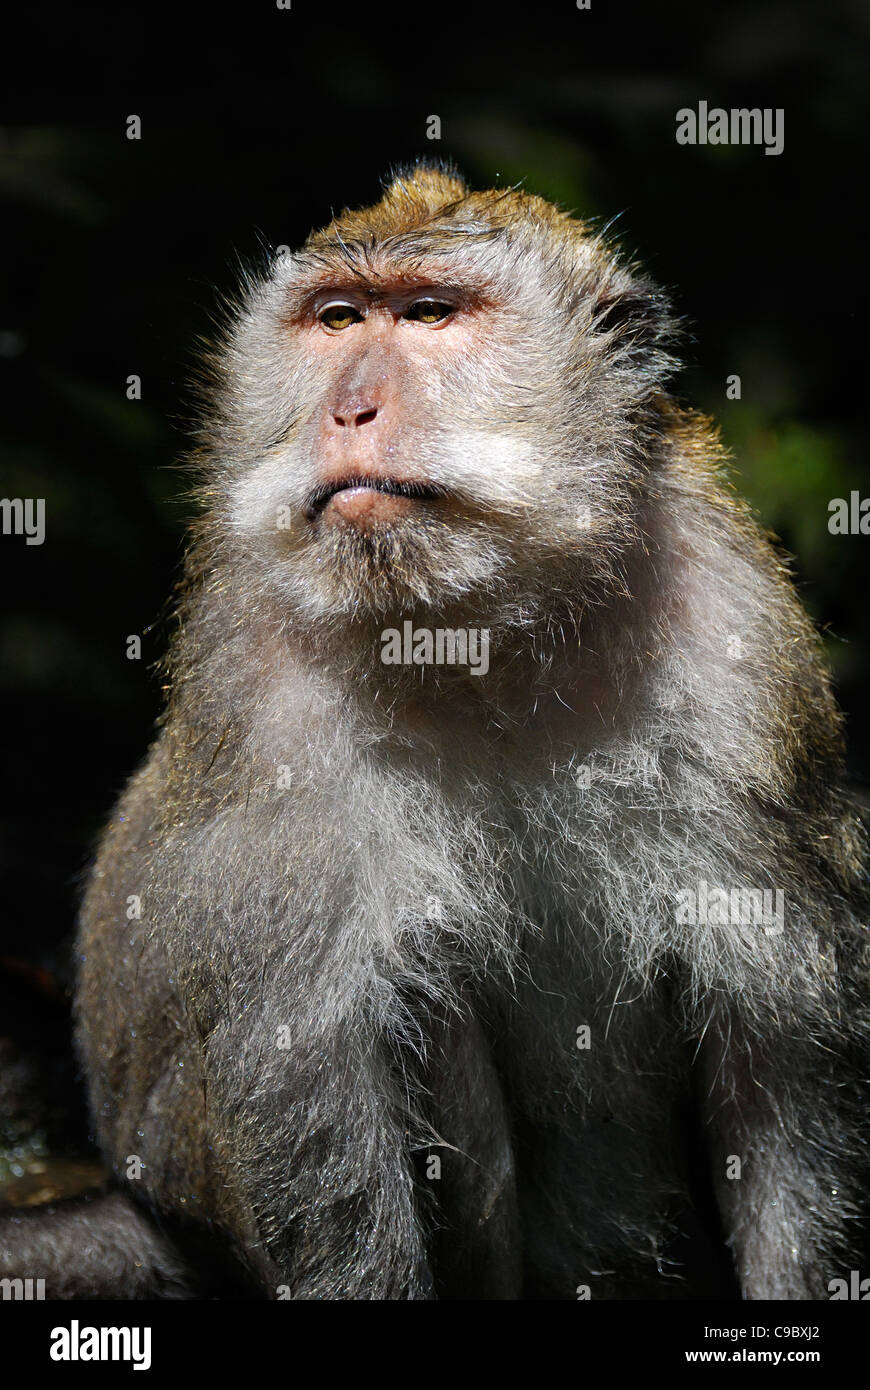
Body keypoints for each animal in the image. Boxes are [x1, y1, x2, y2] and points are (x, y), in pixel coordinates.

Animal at [3, 161, 868, 1300]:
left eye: (429, 314)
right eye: (336, 319)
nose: (349, 408)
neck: (481, 633)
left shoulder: (740, 638)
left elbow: (781, 1056)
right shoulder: (260, 688)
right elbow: (311, 1081)